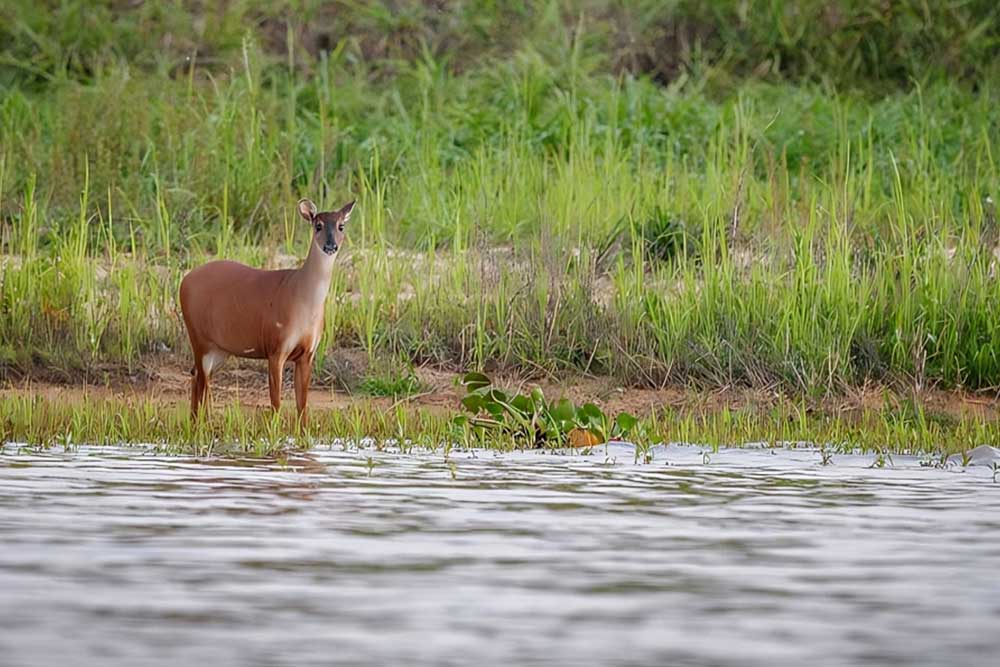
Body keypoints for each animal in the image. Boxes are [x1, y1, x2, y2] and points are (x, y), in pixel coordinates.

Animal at [180, 197, 356, 422]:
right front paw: (274, 429)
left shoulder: (307, 352)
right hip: (199, 338)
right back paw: (199, 424)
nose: (331, 245)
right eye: (318, 225)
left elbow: (302, 405)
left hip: (220, 349)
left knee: (196, 378)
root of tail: (184, 281)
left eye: (341, 226)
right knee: (201, 383)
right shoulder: (275, 346)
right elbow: (276, 403)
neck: (302, 300)